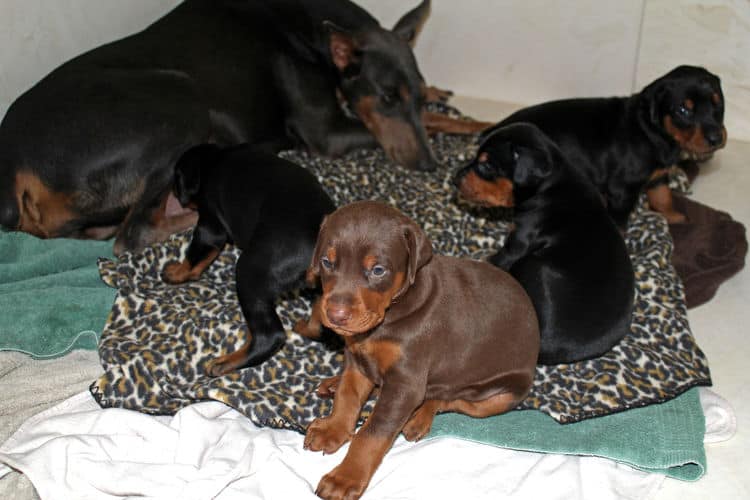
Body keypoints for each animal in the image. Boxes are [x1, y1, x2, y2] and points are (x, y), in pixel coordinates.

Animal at [164, 143, 334, 374]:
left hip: (249, 271)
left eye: (176, 178)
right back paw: (303, 327)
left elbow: (194, 256)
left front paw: (176, 273)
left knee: (271, 336)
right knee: (319, 323)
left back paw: (226, 362)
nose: (171, 192)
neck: (214, 159)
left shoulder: (210, 225)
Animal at [298, 201, 540, 500]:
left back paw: (418, 418)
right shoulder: (356, 360)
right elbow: (347, 397)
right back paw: (335, 384)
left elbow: (372, 433)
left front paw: (345, 477)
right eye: (327, 262)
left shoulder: (406, 381)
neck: (391, 314)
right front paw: (334, 428)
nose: (335, 315)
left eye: (378, 270)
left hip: (498, 397)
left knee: (448, 398)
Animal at [456, 121, 636, 364]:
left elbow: (495, 259)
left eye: (486, 165)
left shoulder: (517, 244)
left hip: (530, 264)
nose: (455, 179)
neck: (550, 185)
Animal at [482, 65, 728, 226]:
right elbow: (620, 224)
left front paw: (675, 216)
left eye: (718, 104)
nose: (716, 138)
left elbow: (663, 196)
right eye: (683, 110)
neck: (652, 130)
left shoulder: (658, 176)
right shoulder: (622, 191)